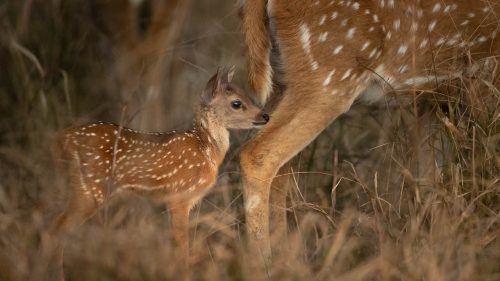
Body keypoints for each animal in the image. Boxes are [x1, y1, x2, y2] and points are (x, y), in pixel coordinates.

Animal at [49, 68, 270, 276]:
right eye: (236, 103)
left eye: (246, 94)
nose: (265, 115)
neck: (206, 149)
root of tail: (58, 140)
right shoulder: (179, 195)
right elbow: (181, 245)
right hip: (90, 187)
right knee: (57, 228)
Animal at [240, 0, 498, 260]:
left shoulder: (430, 100)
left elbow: (428, 176)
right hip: (329, 74)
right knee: (258, 153)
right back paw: (264, 261)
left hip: (283, 82)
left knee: (280, 168)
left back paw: (288, 257)